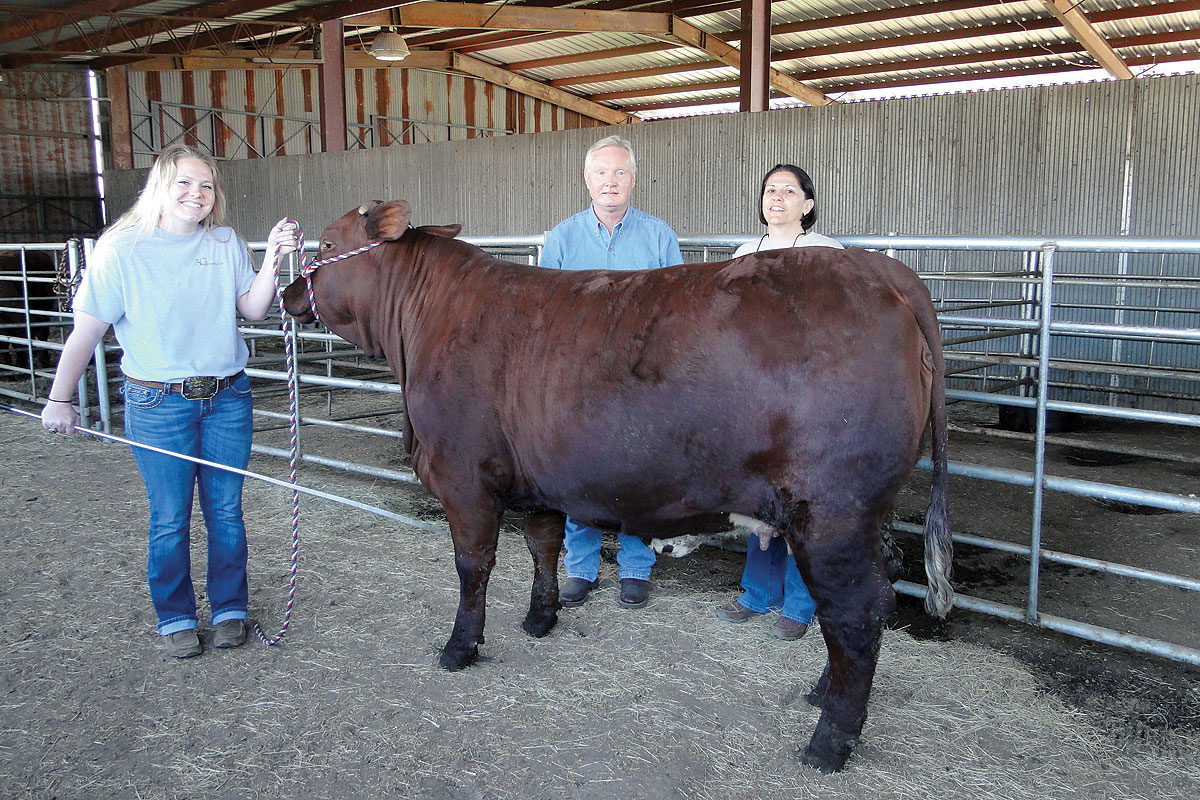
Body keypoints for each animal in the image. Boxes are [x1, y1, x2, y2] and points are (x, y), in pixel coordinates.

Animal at [280, 201, 945, 777]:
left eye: (327, 245)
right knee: (878, 597)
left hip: (832, 512)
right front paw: (541, 618)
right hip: (868, 513)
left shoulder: (462, 478)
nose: (287, 295)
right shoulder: (538, 481)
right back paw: (822, 692)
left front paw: (460, 647)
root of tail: (879, 270)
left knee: (854, 611)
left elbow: (474, 565)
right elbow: (544, 545)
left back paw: (829, 741)